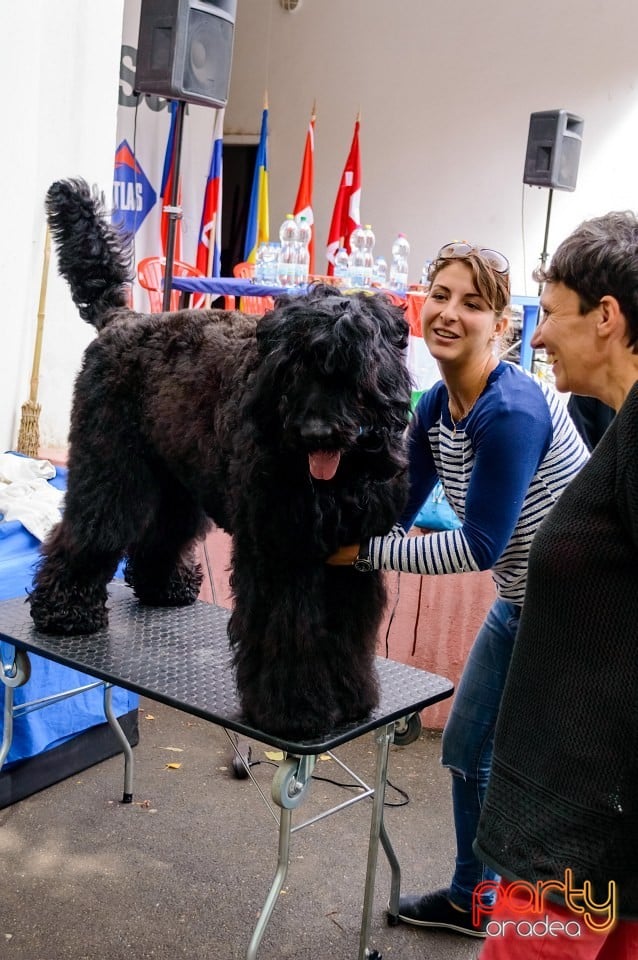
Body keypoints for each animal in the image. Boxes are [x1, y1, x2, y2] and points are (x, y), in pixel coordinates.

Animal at [30, 178, 412, 736]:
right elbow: (289, 631)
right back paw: (64, 612)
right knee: (87, 530)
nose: (315, 432)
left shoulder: (350, 558)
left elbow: (342, 633)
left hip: (173, 482)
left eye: (352, 366)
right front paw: (295, 710)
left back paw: (163, 586)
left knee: (162, 533)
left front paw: (350, 698)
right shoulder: (281, 553)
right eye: (291, 368)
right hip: (111, 471)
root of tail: (120, 317)